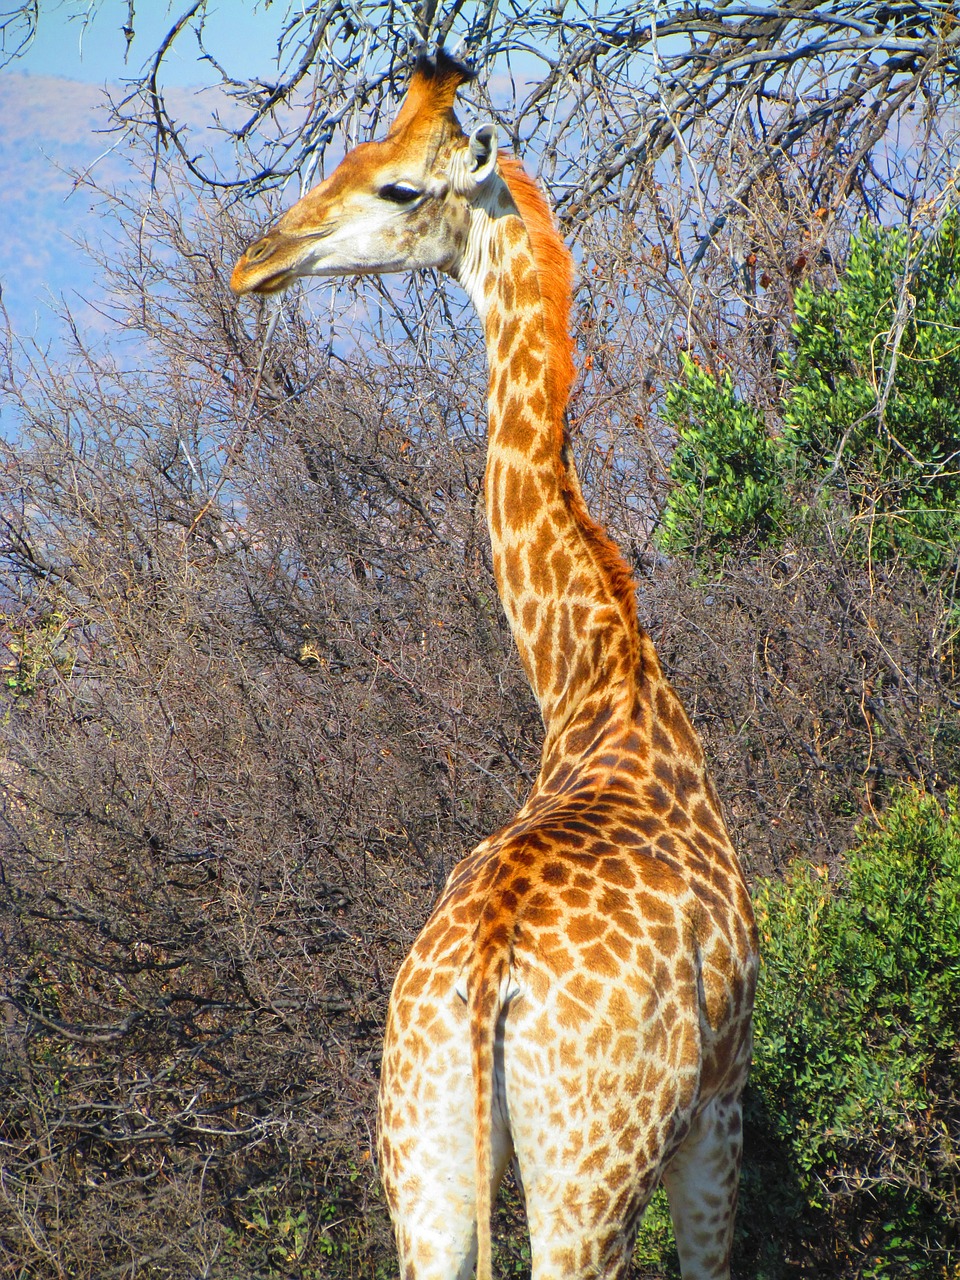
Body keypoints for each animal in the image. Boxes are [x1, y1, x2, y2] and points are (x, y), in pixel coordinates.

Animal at [232, 49, 757, 1280]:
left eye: (392, 183)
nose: (253, 262)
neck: (600, 684)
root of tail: (486, 979)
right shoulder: (722, 1104)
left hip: (420, 1147)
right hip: (591, 1168)